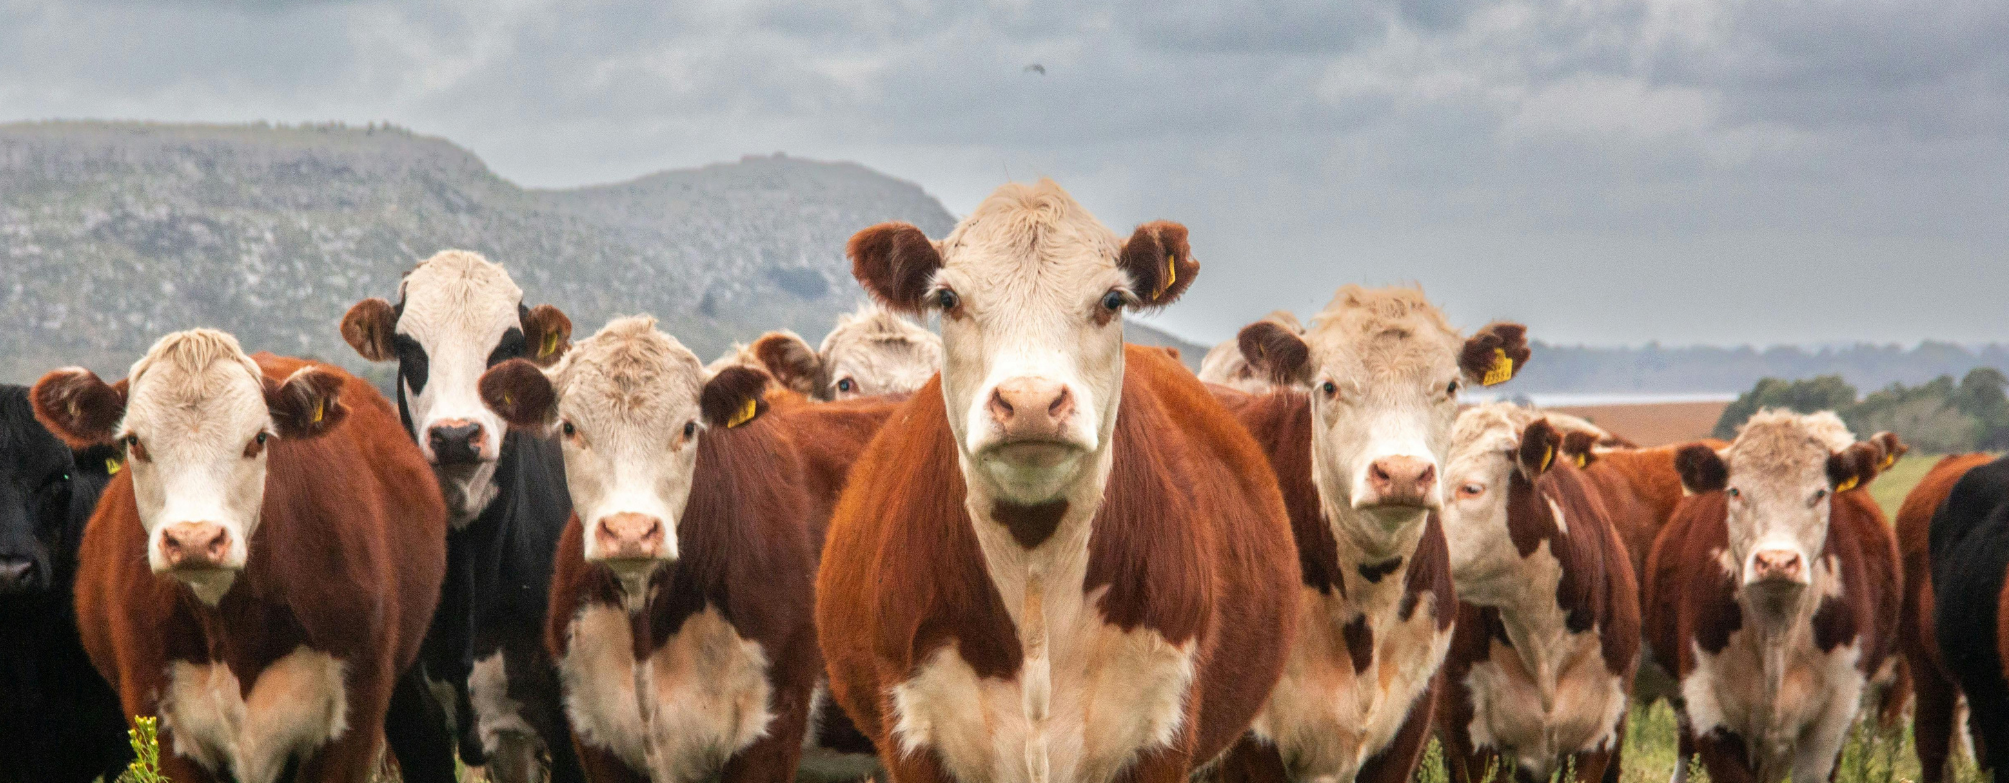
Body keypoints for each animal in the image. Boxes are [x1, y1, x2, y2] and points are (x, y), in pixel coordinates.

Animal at [30, 330, 447, 783]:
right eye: (134, 441)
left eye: (259, 439)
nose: (194, 539)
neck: (232, 626)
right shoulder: (161, 724)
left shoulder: (354, 721)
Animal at [476, 316, 821, 782]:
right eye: (569, 428)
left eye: (689, 428)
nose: (629, 530)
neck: (647, 634)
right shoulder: (593, 737)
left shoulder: (772, 733)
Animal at [816, 179, 1301, 783]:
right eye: (948, 298)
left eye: (1112, 300)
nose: (1029, 401)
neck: (1036, 576)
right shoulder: (913, 733)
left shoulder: (1163, 734)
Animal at [1647, 410, 1901, 783]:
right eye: (1735, 491)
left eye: (1820, 493)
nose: (1777, 561)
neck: (1776, 628)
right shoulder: (1708, 711)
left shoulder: (1832, 721)